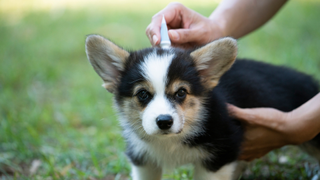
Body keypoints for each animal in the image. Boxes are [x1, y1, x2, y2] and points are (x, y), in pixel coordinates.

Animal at [84, 35, 318, 180]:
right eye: (142, 94)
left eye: (181, 92)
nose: (164, 122)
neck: (172, 141)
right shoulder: (143, 161)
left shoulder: (218, 159)